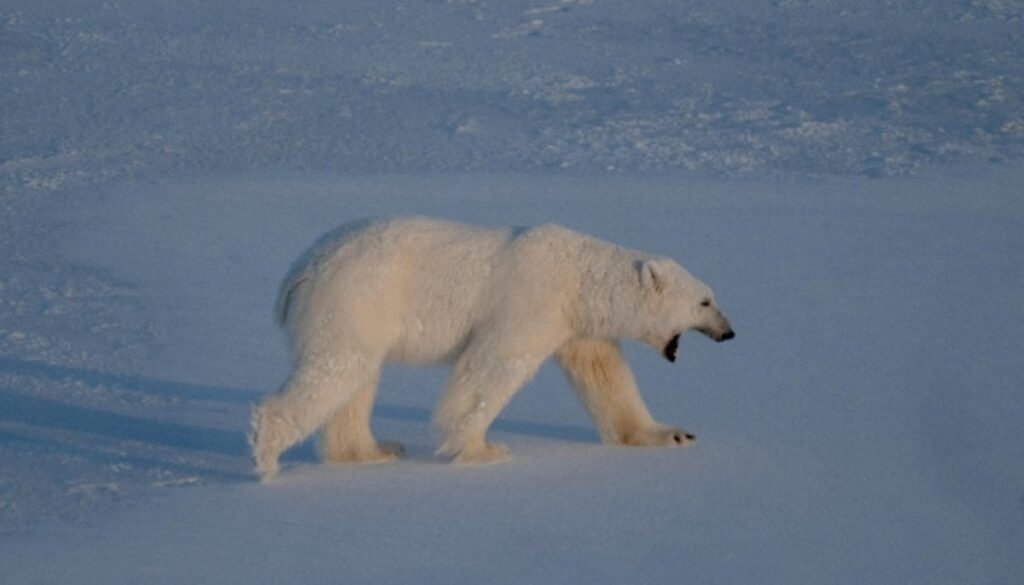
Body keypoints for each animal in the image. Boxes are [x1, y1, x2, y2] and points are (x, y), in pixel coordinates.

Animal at [250, 217, 734, 480]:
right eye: (705, 301)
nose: (729, 332)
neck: (579, 278)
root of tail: (298, 271)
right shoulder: (532, 300)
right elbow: (493, 366)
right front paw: (482, 450)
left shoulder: (577, 325)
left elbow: (604, 376)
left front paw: (673, 434)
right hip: (356, 298)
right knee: (336, 369)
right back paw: (267, 455)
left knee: (357, 379)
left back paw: (373, 450)